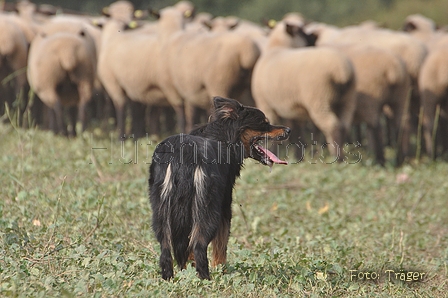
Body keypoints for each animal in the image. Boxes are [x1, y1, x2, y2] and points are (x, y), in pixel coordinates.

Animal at [149, 96, 290, 280]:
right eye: (264, 122)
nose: (288, 130)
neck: (224, 138)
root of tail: (184, 154)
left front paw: (188, 268)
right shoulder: (224, 207)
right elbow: (221, 245)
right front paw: (221, 270)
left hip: (161, 211)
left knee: (166, 249)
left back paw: (169, 279)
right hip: (208, 209)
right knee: (199, 245)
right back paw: (206, 279)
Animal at [252, 22, 356, 161]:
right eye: (302, 32)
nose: (314, 40)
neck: (277, 47)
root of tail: (342, 70)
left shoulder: (266, 104)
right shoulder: (293, 107)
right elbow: (296, 131)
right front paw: (298, 157)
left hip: (319, 99)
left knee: (332, 125)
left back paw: (337, 158)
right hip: (347, 99)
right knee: (344, 125)